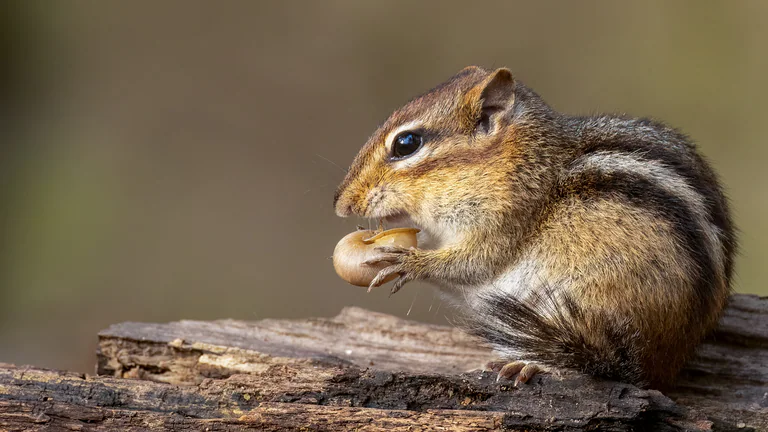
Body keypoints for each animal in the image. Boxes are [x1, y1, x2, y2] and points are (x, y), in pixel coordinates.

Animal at [332, 66, 735, 389]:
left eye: (406, 143)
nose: (340, 202)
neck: (513, 161)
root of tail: (667, 363)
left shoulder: (505, 221)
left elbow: (472, 264)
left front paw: (409, 261)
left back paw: (533, 364)